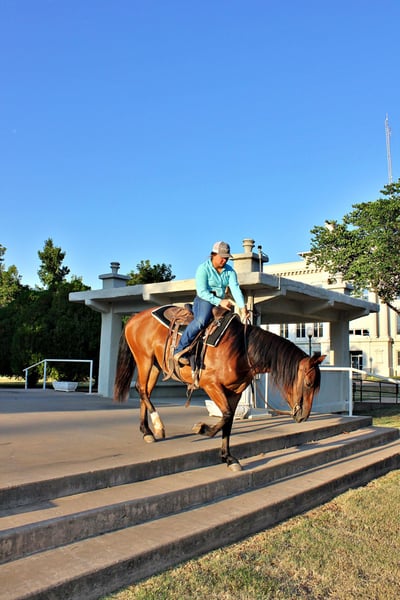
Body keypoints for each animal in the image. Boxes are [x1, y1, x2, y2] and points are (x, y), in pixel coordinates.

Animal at [113, 306, 326, 471]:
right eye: (308, 384)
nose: (304, 416)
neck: (241, 349)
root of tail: (134, 318)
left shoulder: (235, 392)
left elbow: (228, 421)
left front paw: (228, 458)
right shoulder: (211, 385)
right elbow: (225, 415)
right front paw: (202, 428)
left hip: (156, 365)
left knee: (146, 392)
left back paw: (147, 431)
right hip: (144, 359)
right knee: (141, 389)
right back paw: (158, 426)